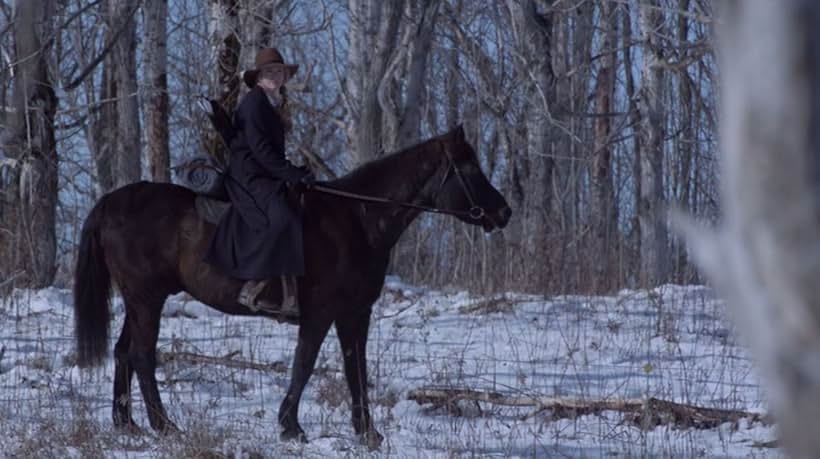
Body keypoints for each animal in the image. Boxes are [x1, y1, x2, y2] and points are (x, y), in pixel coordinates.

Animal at [72, 126, 506, 450]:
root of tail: (111, 202)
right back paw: (165, 426)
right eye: (469, 168)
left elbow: (356, 368)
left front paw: (368, 433)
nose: (504, 212)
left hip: (138, 299)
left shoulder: (355, 313)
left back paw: (126, 424)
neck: (358, 218)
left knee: (123, 352)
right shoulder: (320, 313)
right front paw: (291, 428)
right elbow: (304, 364)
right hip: (147, 298)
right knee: (142, 356)